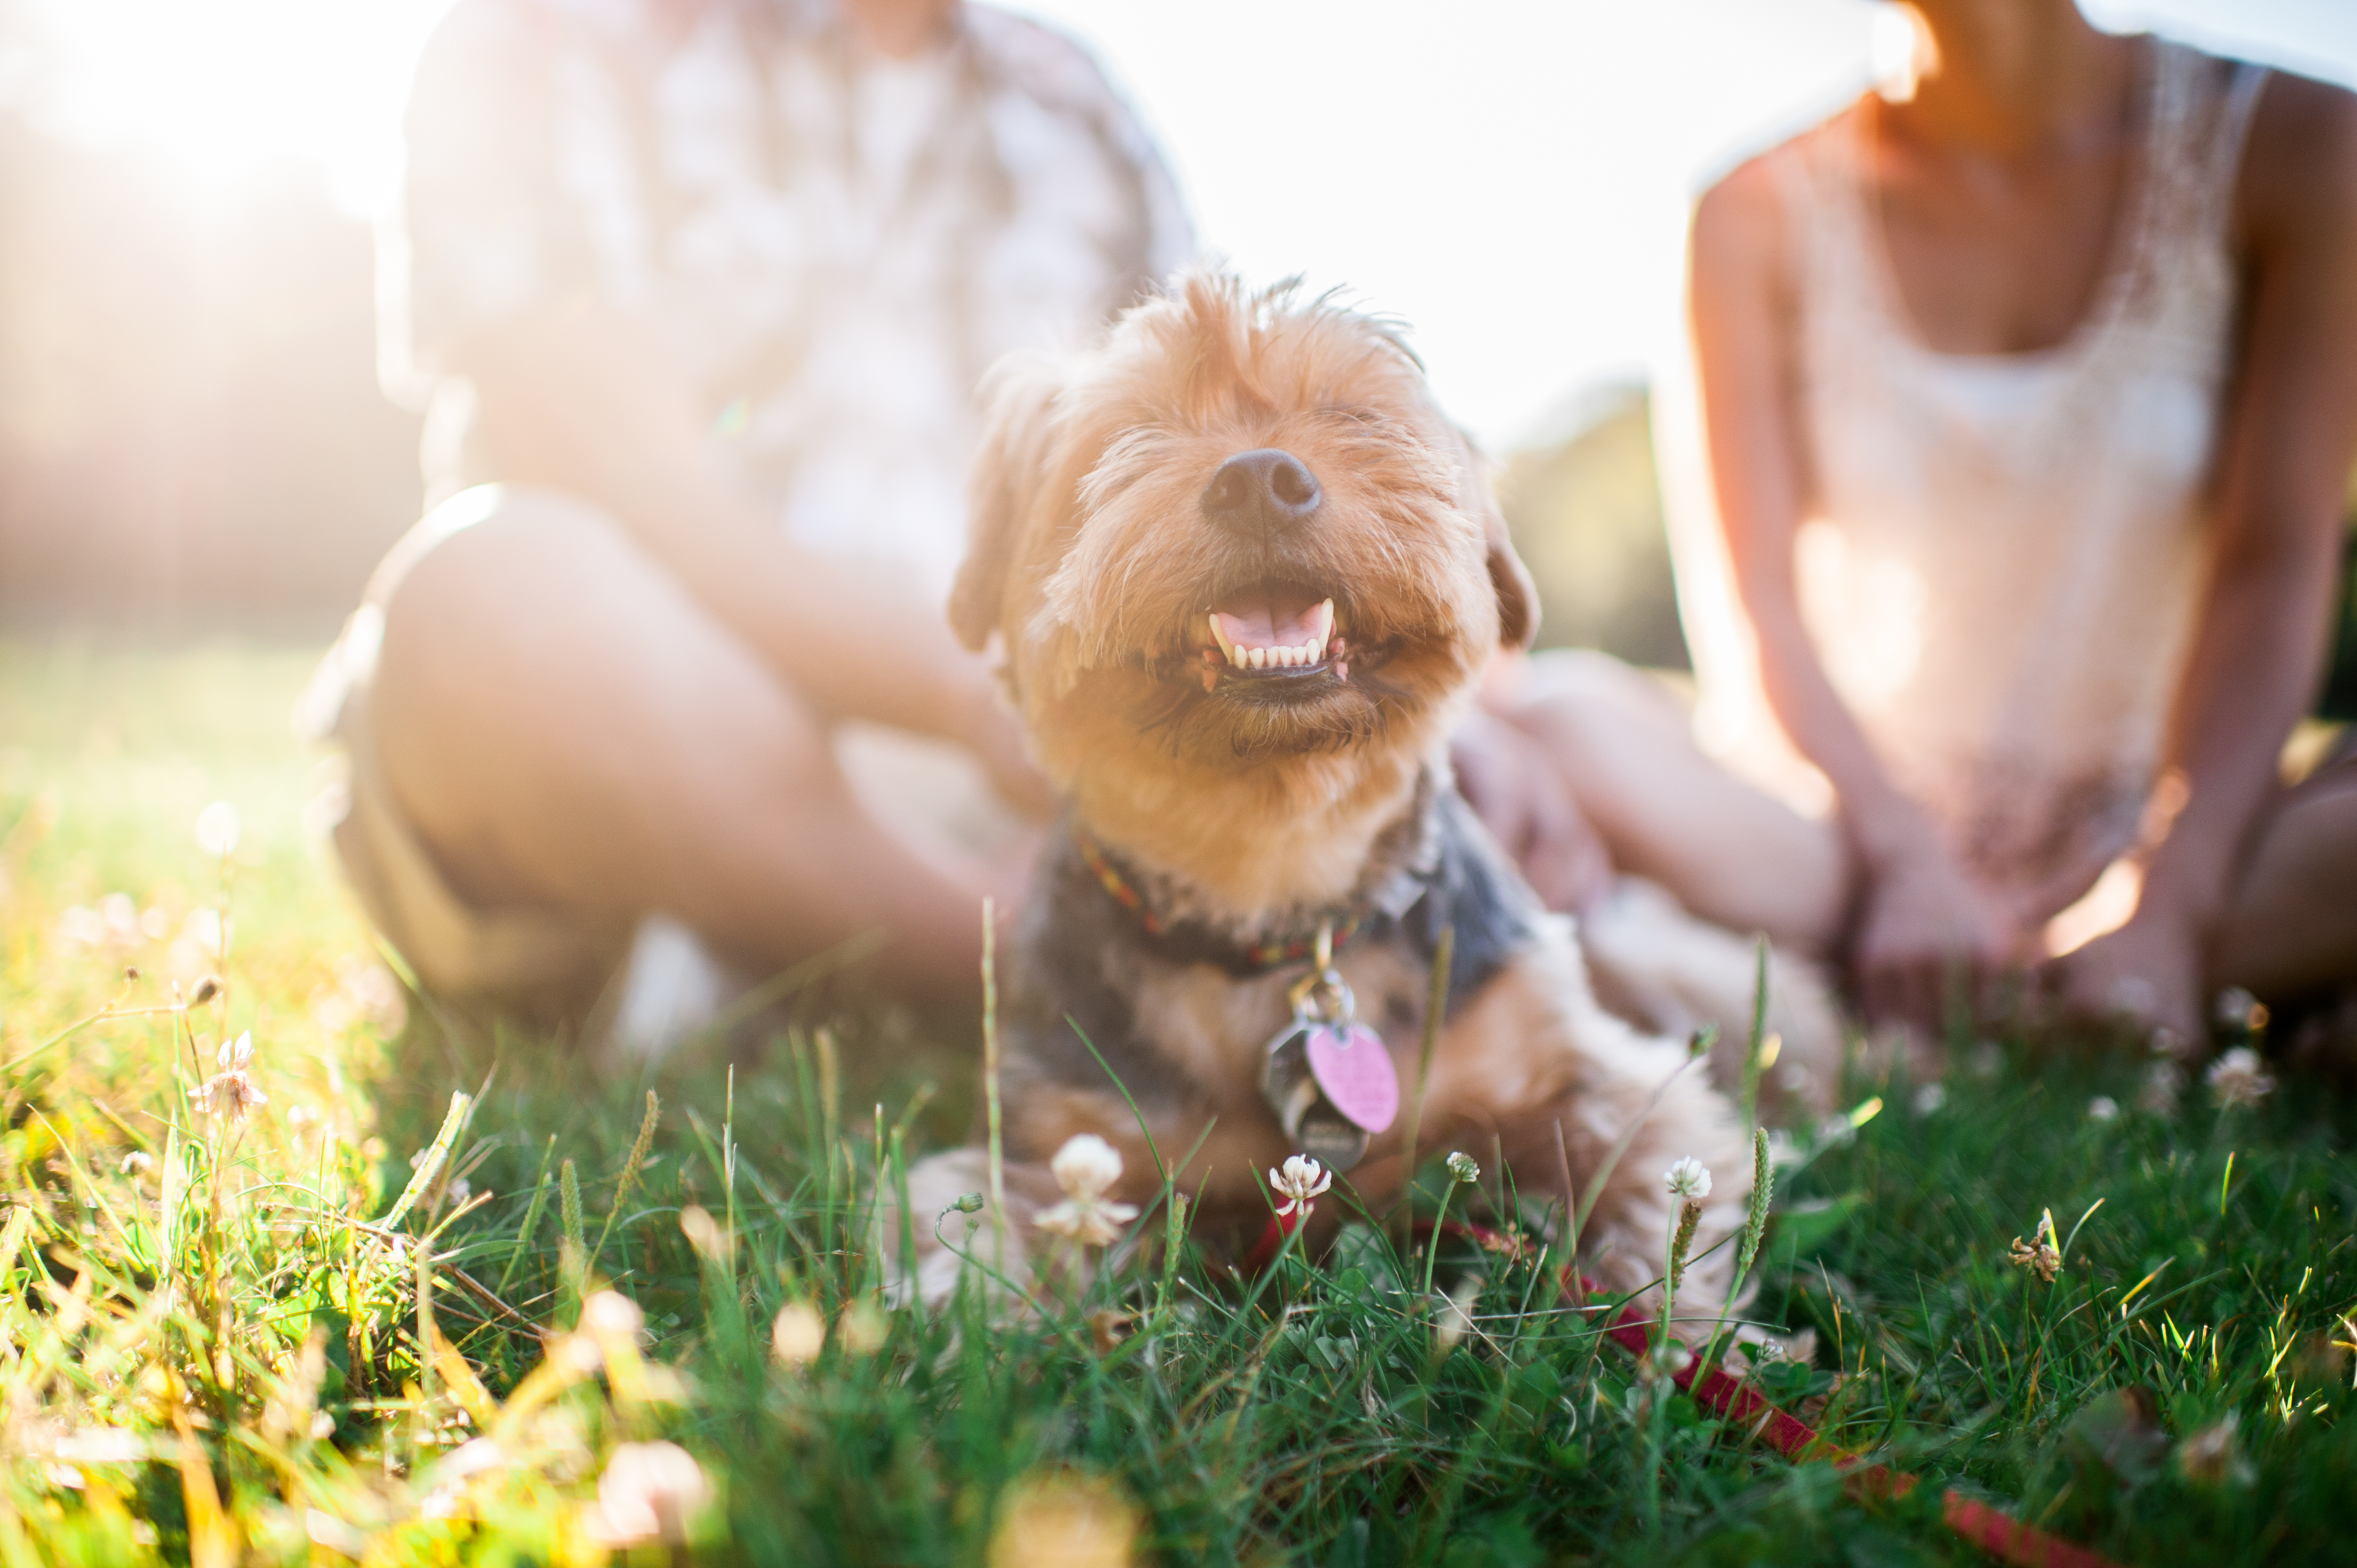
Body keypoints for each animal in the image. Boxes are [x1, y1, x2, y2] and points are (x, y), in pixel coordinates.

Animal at [900, 272, 1753, 1320]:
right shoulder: (1053, 1139)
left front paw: (1692, 1343)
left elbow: (1657, 1203)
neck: (1276, 883)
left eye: (1352, 413)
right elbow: (970, 1254)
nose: (1260, 477)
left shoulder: (1597, 1078)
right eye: (1128, 433)